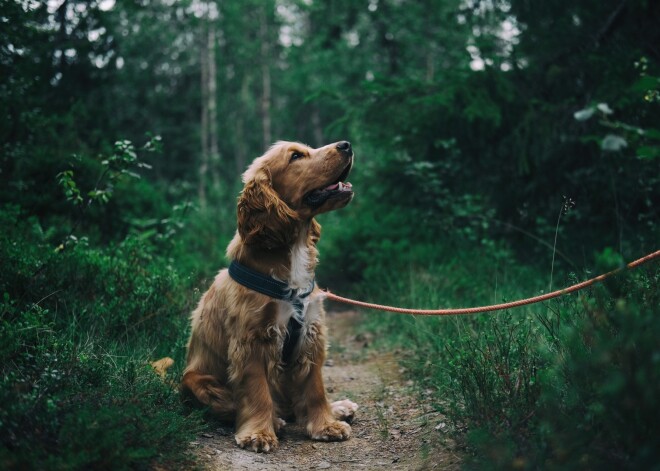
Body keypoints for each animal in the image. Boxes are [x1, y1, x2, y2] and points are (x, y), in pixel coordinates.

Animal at [183, 140, 358, 454]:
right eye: (296, 156)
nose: (346, 144)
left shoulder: (311, 332)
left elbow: (315, 388)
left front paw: (326, 424)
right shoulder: (252, 340)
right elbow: (257, 391)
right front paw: (259, 433)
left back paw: (338, 407)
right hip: (197, 381)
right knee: (234, 405)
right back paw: (275, 420)